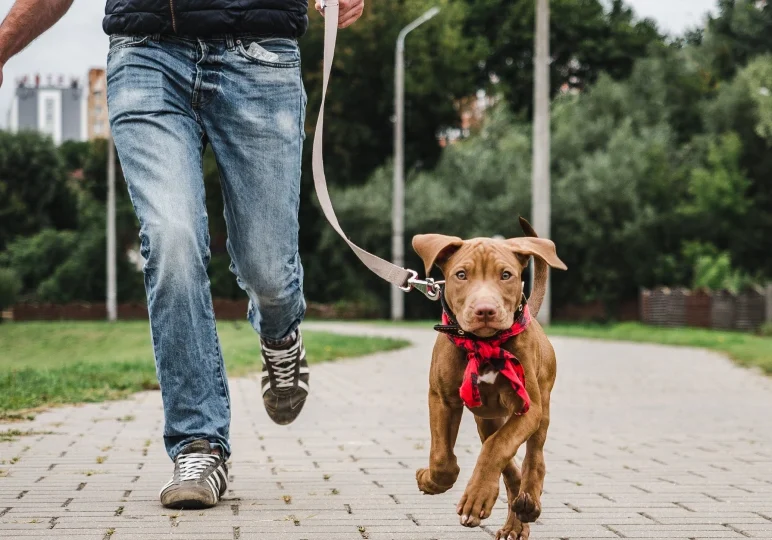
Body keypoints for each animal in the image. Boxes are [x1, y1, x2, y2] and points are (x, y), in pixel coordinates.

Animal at [410, 218, 568, 540]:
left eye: (506, 275)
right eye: (461, 275)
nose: (485, 310)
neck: (483, 344)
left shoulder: (528, 408)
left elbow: (498, 447)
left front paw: (476, 497)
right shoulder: (442, 399)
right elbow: (442, 457)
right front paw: (431, 480)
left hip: (542, 406)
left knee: (533, 458)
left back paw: (528, 503)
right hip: (486, 417)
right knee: (506, 463)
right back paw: (516, 515)